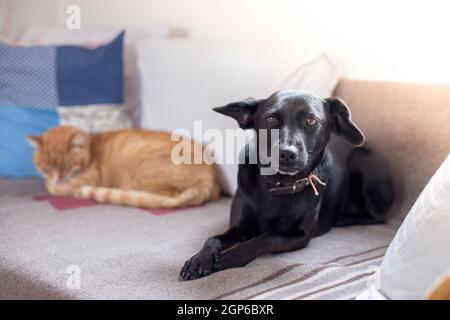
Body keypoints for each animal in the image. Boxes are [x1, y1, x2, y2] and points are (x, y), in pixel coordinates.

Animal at [27, 126, 221, 209]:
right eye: (44, 167)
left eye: (67, 166)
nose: (57, 178)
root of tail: (209, 178)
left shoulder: (87, 180)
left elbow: (54, 189)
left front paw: (53, 185)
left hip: (140, 175)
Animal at [179, 90, 394, 280]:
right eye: (270, 119)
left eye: (311, 121)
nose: (287, 153)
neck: (278, 184)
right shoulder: (238, 227)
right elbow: (213, 238)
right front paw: (198, 260)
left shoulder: (300, 236)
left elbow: (265, 238)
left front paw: (230, 257)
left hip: (362, 165)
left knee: (378, 216)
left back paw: (342, 219)